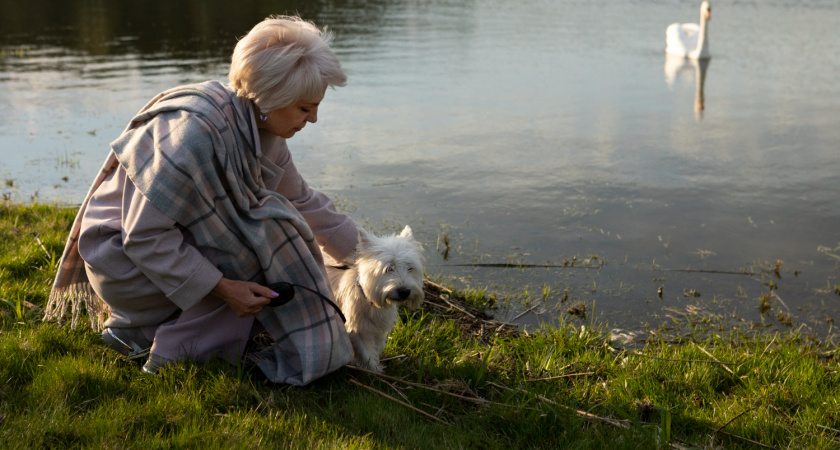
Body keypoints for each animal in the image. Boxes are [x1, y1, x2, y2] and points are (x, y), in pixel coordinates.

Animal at [324, 225, 424, 372]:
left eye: (410, 268)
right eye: (388, 268)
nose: (404, 291)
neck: (369, 300)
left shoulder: (379, 327)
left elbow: (377, 347)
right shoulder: (357, 329)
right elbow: (367, 354)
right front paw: (374, 372)